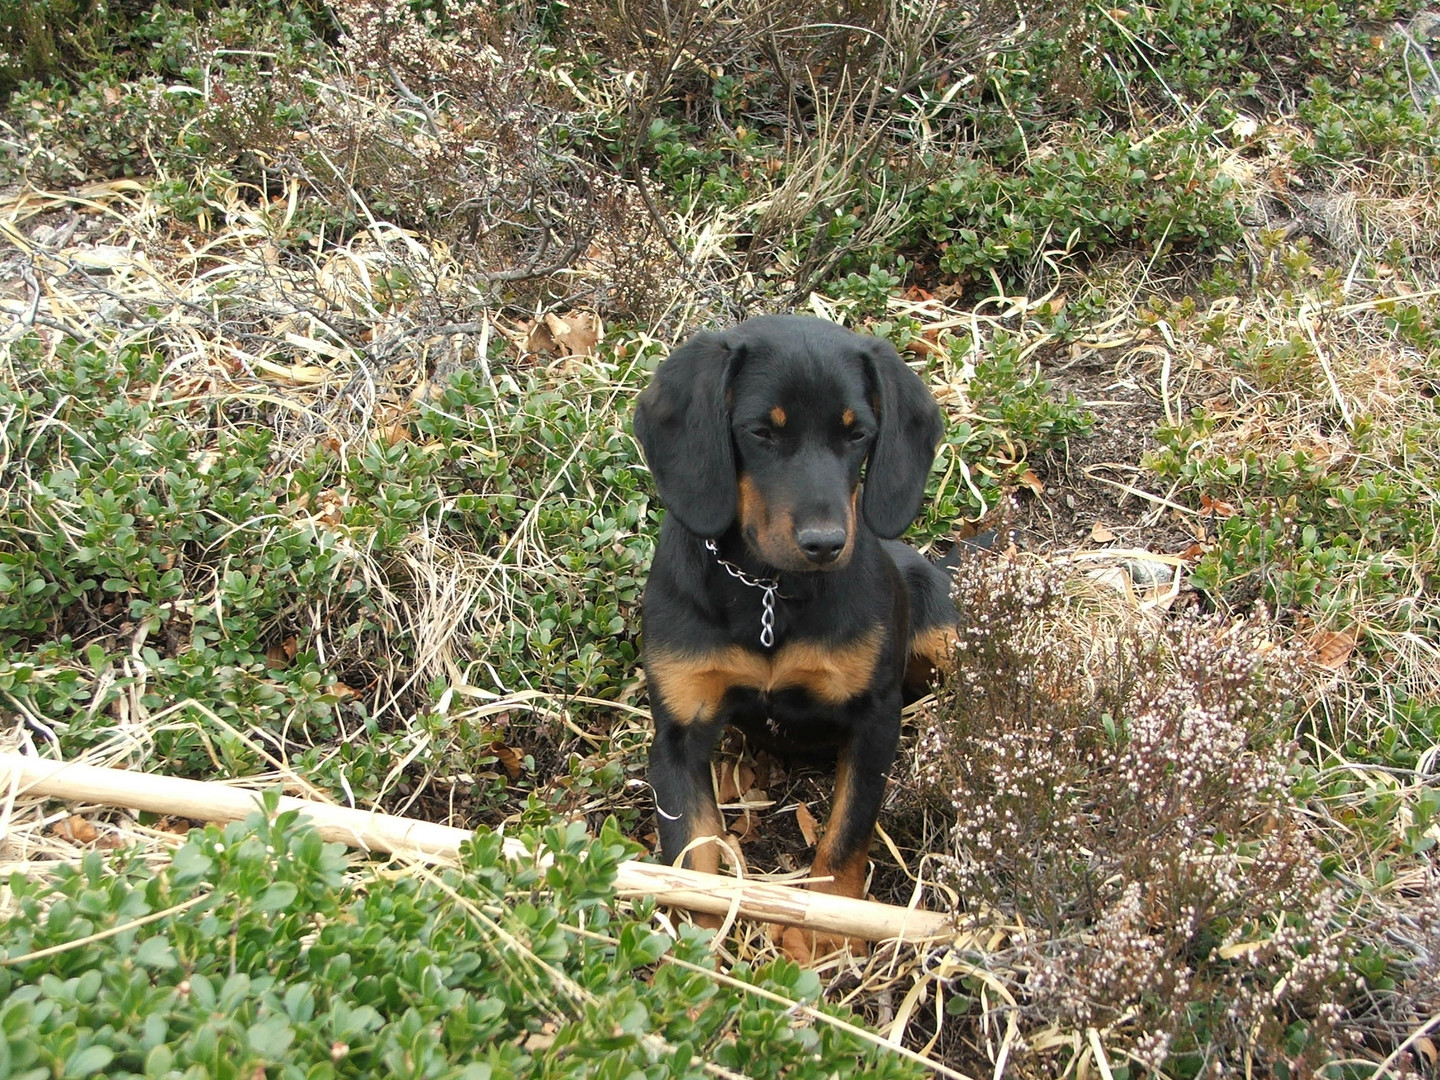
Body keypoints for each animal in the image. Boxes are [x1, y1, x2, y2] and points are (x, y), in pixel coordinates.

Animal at [633, 315, 956, 944]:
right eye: (761, 431)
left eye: (858, 435)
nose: (826, 543)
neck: (768, 591)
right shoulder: (680, 728)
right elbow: (693, 856)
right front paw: (698, 946)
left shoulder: (874, 717)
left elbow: (846, 834)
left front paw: (827, 935)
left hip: (943, 635)